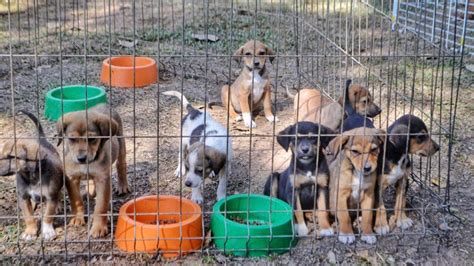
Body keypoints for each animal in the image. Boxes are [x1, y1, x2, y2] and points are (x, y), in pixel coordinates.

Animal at [56, 103, 129, 237]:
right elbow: (76, 200)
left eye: (91, 139)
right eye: (72, 139)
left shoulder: (102, 179)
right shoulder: (72, 178)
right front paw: (77, 218)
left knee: (121, 165)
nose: (81, 158)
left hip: (121, 143)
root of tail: (103, 104)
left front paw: (99, 227)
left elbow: (101, 206)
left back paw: (122, 186)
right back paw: (90, 191)